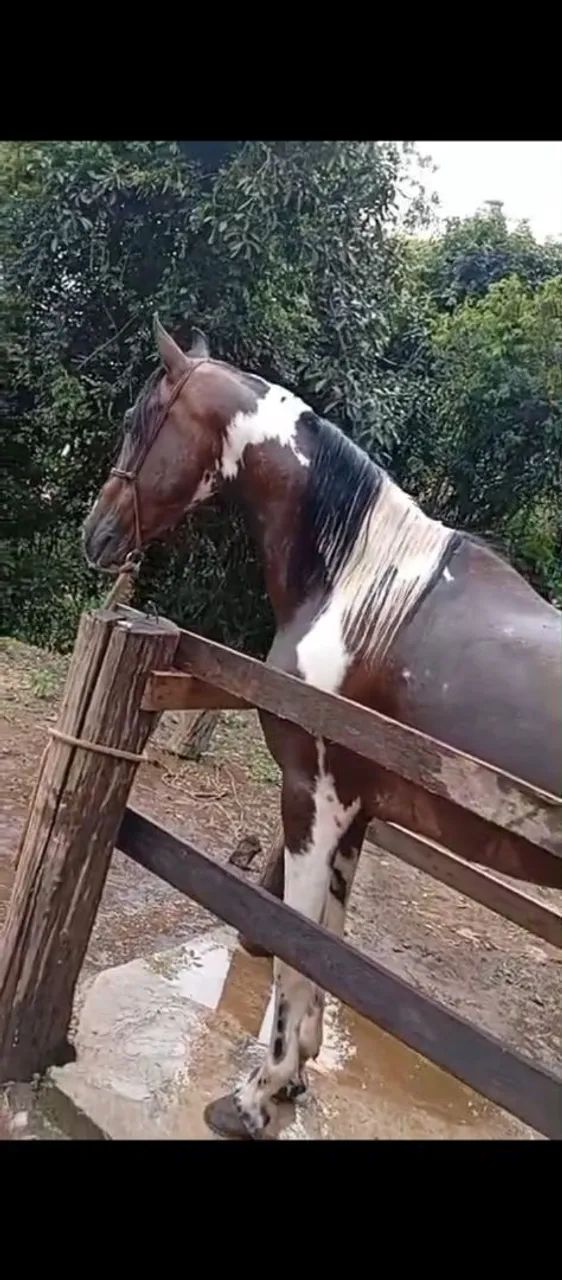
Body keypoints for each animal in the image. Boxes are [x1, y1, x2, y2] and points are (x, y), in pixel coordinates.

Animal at [83, 317, 562, 1139]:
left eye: (138, 421)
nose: (96, 535)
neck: (362, 592)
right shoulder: (359, 811)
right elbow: (325, 945)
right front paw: (295, 1077)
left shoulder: (315, 794)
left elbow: (294, 946)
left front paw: (256, 1095)